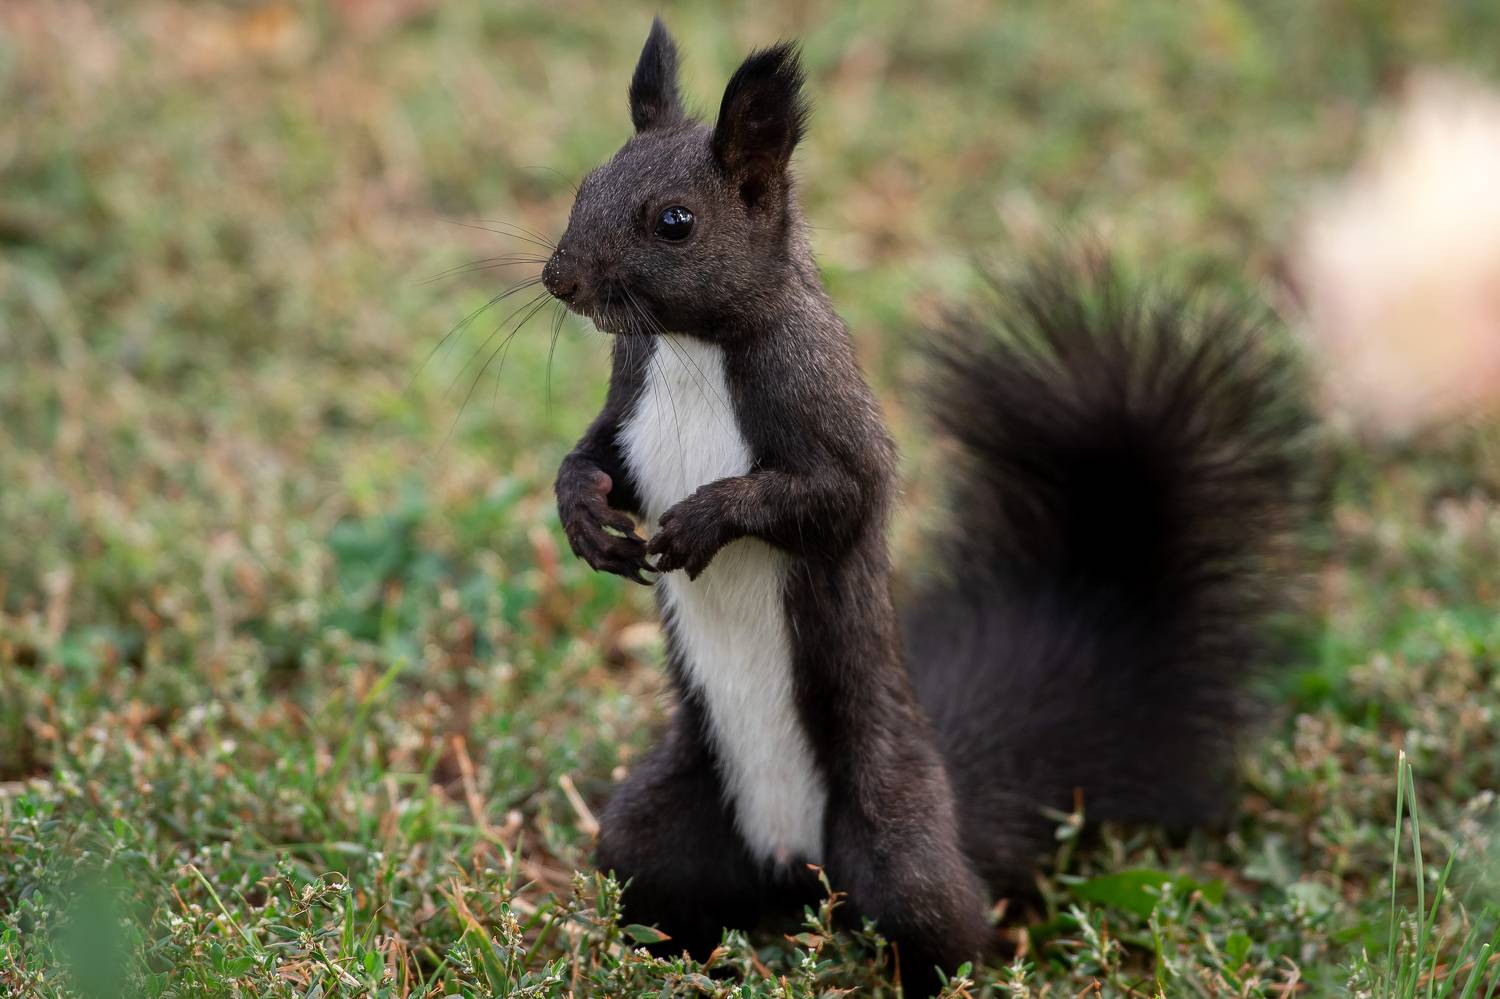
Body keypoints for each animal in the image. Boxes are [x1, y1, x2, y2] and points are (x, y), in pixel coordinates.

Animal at [539, 19, 1307, 994]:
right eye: (583, 184)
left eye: (676, 221)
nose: (560, 279)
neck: (690, 348)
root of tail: (797, 864)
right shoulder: (629, 402)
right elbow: (597, 458)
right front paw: (584, 517)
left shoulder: (825, 413)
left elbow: (832, 499)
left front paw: (706, 518)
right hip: (652, 828)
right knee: (655, 881)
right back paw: (674, 955)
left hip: (892, 835)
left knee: (947, 922)